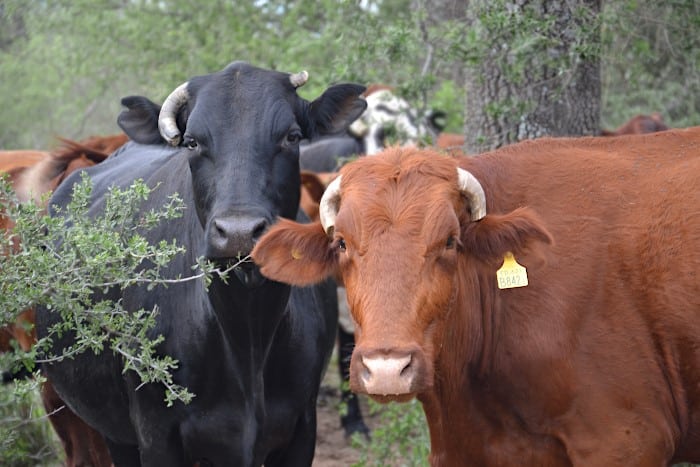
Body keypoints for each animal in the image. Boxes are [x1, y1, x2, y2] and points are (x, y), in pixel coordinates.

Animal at [36, 62, 366, 467]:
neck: (247, 336)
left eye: (291, 137)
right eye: (192, 142)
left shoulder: (302, 428)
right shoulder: (156, 435)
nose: (239, 232)